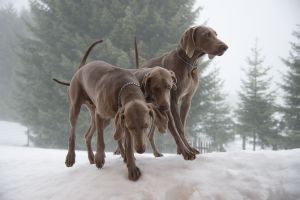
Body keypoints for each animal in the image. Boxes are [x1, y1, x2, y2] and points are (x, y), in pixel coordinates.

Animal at [62, 39, 169, 180]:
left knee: (88, 134)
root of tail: (81, 68)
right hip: (76, 106)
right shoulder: (101, 114)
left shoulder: (123, 120)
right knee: (72, 132)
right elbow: (101, 139)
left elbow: (128, 145)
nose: (140, 150)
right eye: (131, 127)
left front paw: (132, 167)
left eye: (146, 125)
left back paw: (92, 158)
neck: (126, 87)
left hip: (102, 115)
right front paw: (100, 158)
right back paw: (71, 157)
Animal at [137, 25, 229, 155]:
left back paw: (156, 153)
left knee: (150, 134)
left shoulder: (187, 100)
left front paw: (181, 150)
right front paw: (186, 149)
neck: (189, 63)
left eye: (216, 34)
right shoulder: (173, 100)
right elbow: (179, 127)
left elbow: (182, 125)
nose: (225, 47)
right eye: (207, 35)